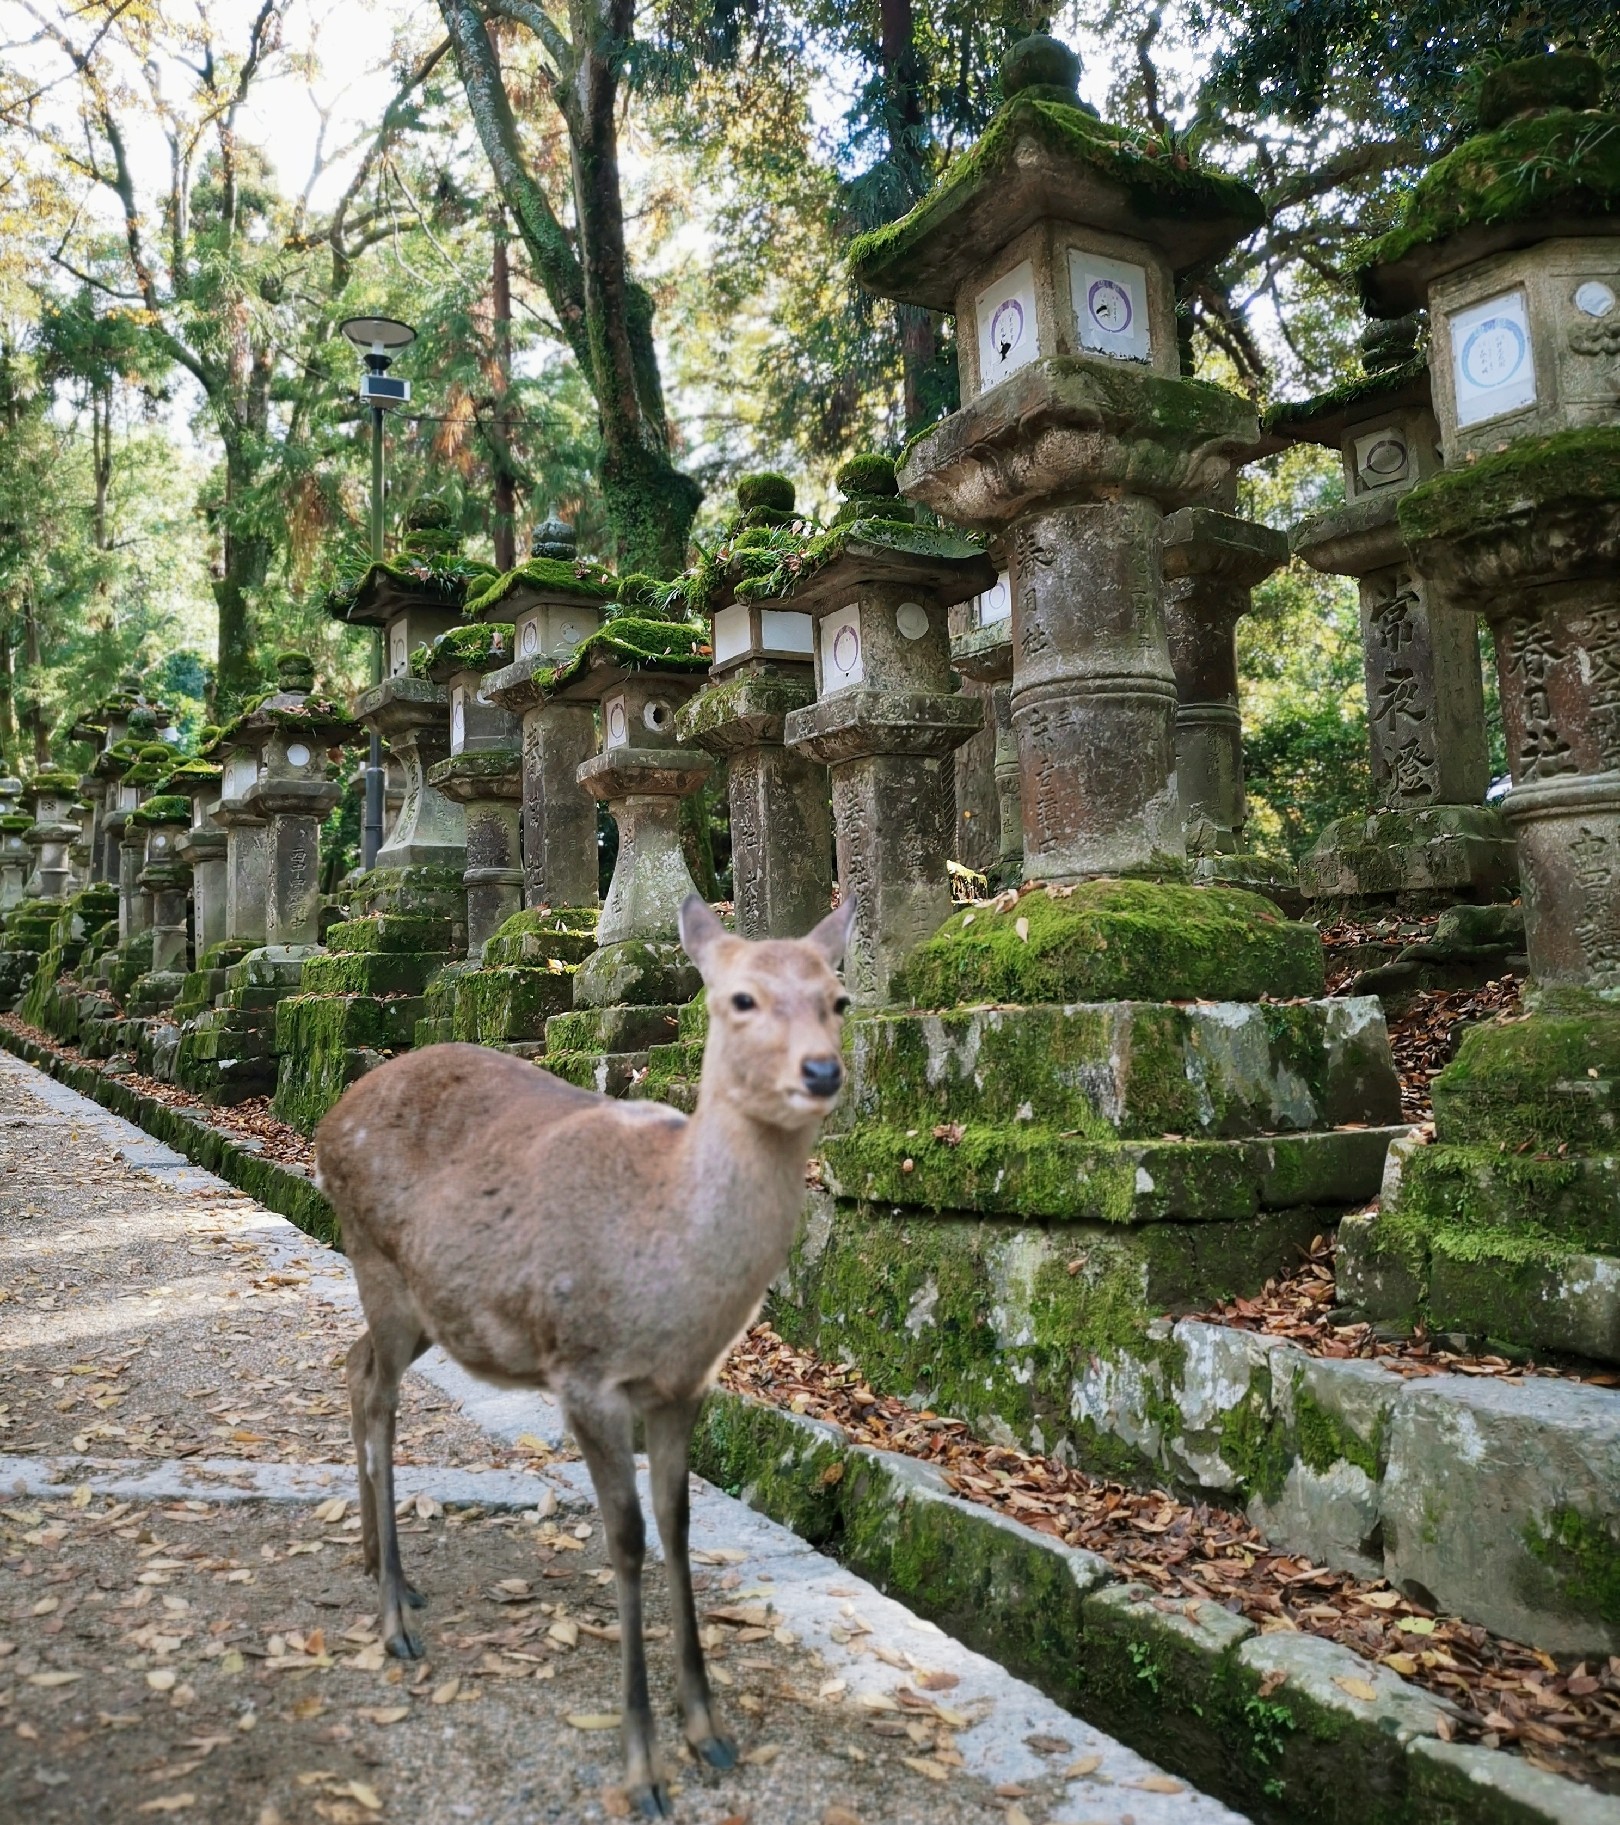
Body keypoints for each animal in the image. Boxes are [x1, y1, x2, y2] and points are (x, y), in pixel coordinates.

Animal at [308, 890, 853, 1817]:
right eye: (739, 999)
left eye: (838, 998)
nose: (822, 1072)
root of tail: (323, 1119)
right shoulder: (584, 1372)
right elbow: (626, 1539)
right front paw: (644, 1768)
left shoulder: (684, 1386)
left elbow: (678, 1524)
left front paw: (709, 1729)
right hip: (372, 1254)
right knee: (378, 1398)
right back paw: (395, 1622)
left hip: (424, 1304)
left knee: (354, 1367)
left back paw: (384, 1564)